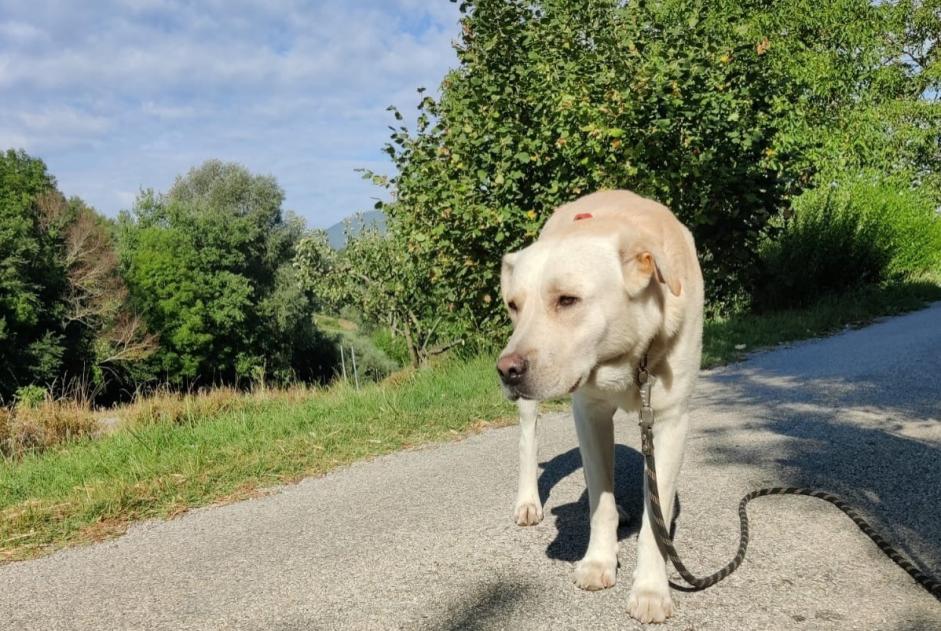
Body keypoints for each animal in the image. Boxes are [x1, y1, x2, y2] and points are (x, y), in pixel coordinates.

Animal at [496, 190, 700, 624]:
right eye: (513, 305)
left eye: (568, 300)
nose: (506, 371)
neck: (628, 355)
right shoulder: (587, 413)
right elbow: (598, 500)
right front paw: (598, 562)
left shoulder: (671, 420)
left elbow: (655, 517)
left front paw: (650, 589)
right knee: (530, 443)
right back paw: (528, 501)